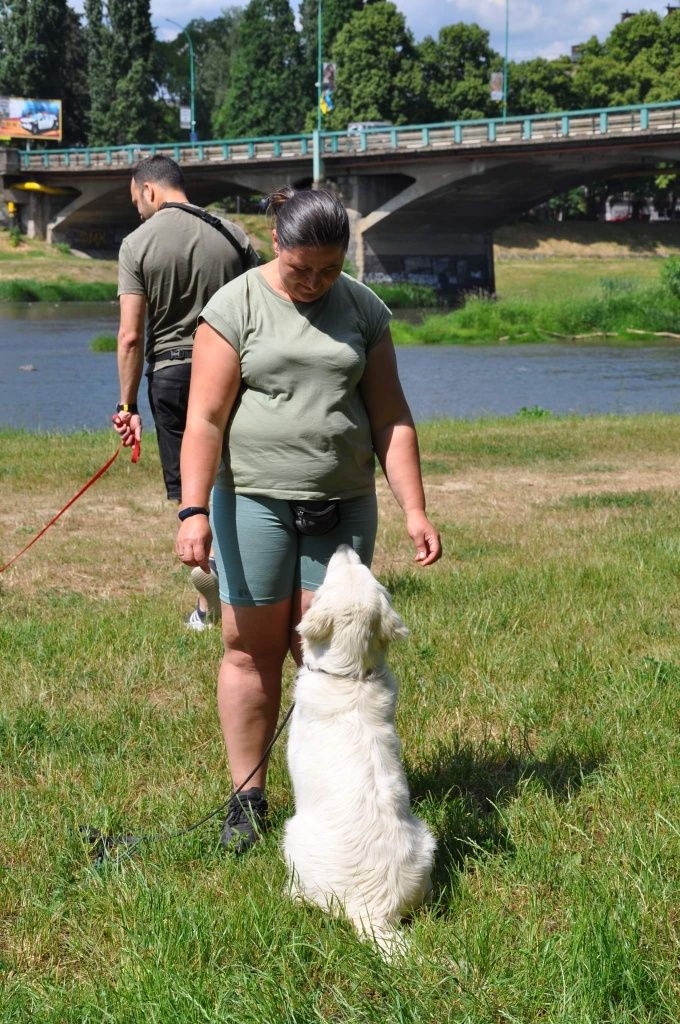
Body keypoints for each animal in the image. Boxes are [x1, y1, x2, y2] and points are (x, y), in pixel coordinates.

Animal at [280, 548, 436, 954]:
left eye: (337, 574)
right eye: (367, 571)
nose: (343, 548)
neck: (351, 676)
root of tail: (371, 910)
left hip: (292, 836)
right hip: (425, 841)